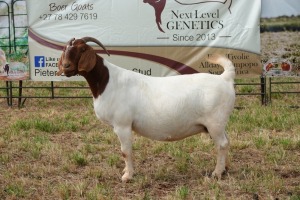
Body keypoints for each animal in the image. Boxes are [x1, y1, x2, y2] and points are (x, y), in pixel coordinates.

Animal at [55, 36, 234, 182]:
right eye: (65, 49)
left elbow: (125, 151)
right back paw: (225, 169)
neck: (108, 82)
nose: (66, 66)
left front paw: (127, 176)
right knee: (226, 142)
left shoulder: (122, 125)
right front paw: (126, 171)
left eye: (82, 49)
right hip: (219, 124)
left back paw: (216, 173)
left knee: (222, 144)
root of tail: (224, 78)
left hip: (215, 122)